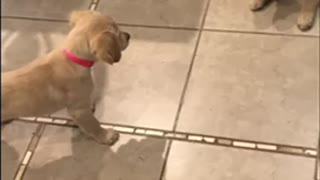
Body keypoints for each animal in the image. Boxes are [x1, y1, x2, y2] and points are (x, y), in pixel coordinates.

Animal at [2, 10, 130, 146]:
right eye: (117, 34)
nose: (128, 35)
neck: (72, 58)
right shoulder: (79, 111)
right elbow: (94, 125)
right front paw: (106, 136)